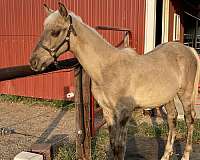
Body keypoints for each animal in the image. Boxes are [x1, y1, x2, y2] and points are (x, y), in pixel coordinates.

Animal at [29, 2, 200, 160]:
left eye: (55, 32)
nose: (33, 62)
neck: (106, 68)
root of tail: (189, 50)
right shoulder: (108, 112)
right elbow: (113, 145)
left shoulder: (124, 113)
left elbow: (120, 147)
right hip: (167, 97)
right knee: (172, 118)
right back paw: (166, 155)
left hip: (185, 94)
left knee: (189, 119)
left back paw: (185, 155)